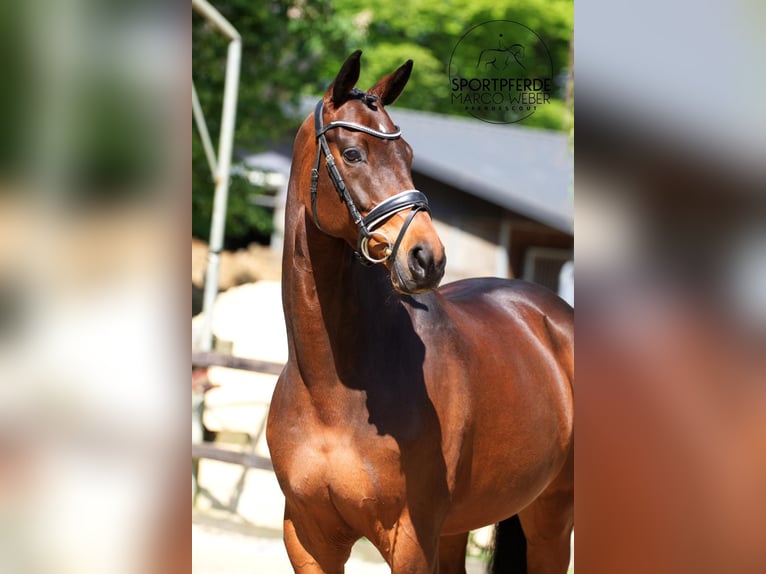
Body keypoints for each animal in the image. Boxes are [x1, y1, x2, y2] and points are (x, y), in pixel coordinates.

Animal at [268, 51, 572, 572]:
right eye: (354, 154)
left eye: (408, 156)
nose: (427, 257)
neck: (331, 390)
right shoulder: (307, 539)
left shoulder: (410, 537)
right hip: (459, 528)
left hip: (552, 516)